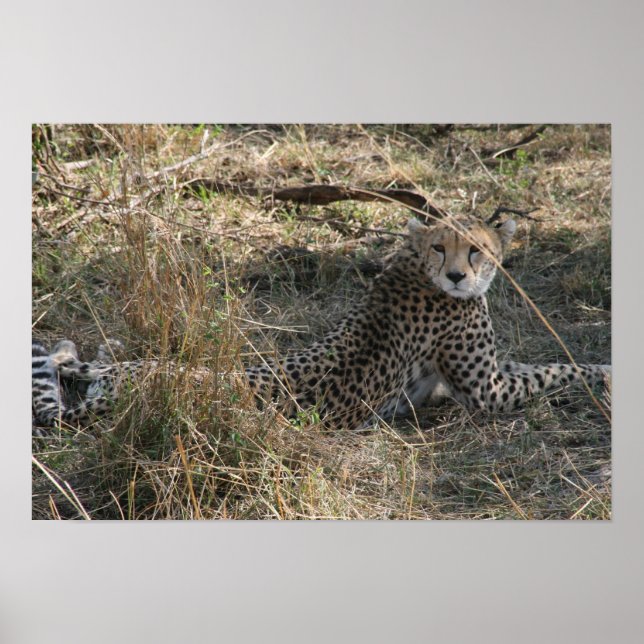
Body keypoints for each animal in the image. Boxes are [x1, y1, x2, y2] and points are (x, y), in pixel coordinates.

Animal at [32, 214, 611, 432]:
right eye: (441, 248)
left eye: (477, 251)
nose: (455, 276)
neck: (414, 266)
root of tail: (121, 383)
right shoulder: (486, 391)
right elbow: (555, 368)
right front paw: (604, 371)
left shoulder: (480, 378)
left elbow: (539, 364)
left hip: (126, 367)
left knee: (75, 366)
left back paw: (82, 351)